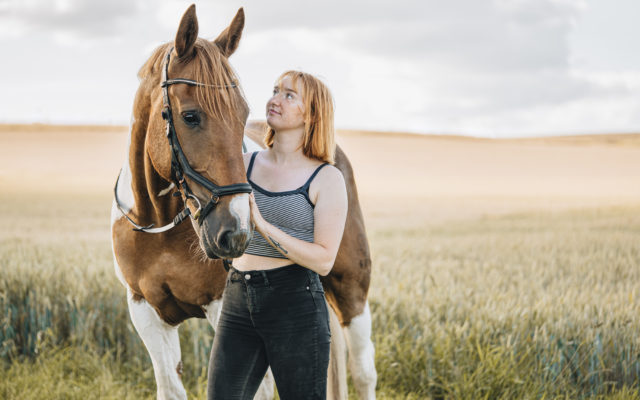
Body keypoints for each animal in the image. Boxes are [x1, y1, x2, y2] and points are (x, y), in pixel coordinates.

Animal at [110, 6, 376, 400]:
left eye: (243, 115)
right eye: (191, 116)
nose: (234, 235)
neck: (158, 224)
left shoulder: (223, 307)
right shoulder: (145, 311)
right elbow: (170, 387)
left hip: (351, 288)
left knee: (363, 370)